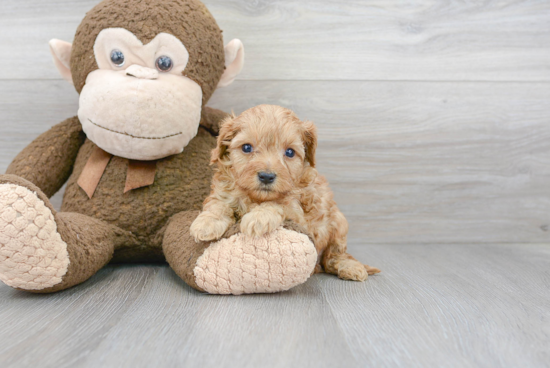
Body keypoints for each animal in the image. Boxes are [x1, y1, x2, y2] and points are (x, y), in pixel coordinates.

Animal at [192, 104, 382, 282]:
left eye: (289, 152)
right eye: (246, 148)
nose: (266, 176)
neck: (256, 197)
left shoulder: (300, 214)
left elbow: (277, 204)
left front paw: (258, 218)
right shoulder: (223, 192)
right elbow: (218, 204)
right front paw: (206, 223)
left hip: (339, 224)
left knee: (334, 256)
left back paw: (350, 267)